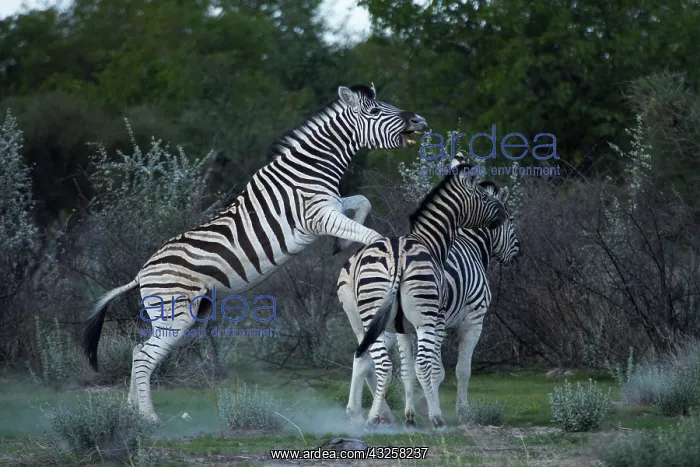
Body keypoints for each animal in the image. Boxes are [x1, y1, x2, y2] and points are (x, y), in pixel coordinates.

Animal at [81, 84, 428, 425]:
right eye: (376, 111)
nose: (420, 121)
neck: (311, 168)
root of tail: (141, 273)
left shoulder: (330, 207)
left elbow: (362, 202)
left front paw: (341, 245)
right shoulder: (317, 215)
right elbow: (372, 235)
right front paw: (371, 251)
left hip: (182, 314)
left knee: (138, 350)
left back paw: (131, 412)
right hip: (174, 314)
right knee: (144, 356)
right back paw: (149, 418)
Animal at [336, 157, 508, 430]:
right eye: (483, 197)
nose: (503, 215)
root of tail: (396, 257)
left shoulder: (404, 327)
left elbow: (408, 370)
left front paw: (413, 414)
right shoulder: (462, 320)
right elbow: (450, 369)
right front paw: (450, 411)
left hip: (368, 317)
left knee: (367, 359)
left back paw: (367, 415)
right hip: (420, 319)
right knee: (410, 364)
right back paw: (430, 419)